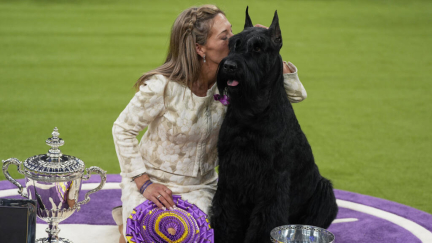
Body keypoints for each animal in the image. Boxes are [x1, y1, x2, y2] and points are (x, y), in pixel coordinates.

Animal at [209, 7, 338, 243]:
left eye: (259, 47)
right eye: (233, 43)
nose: (229, 66)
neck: (252, 111)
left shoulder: (273, 180)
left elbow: (265, 220)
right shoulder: (230, 174)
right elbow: (226, 214)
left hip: (325, 192)